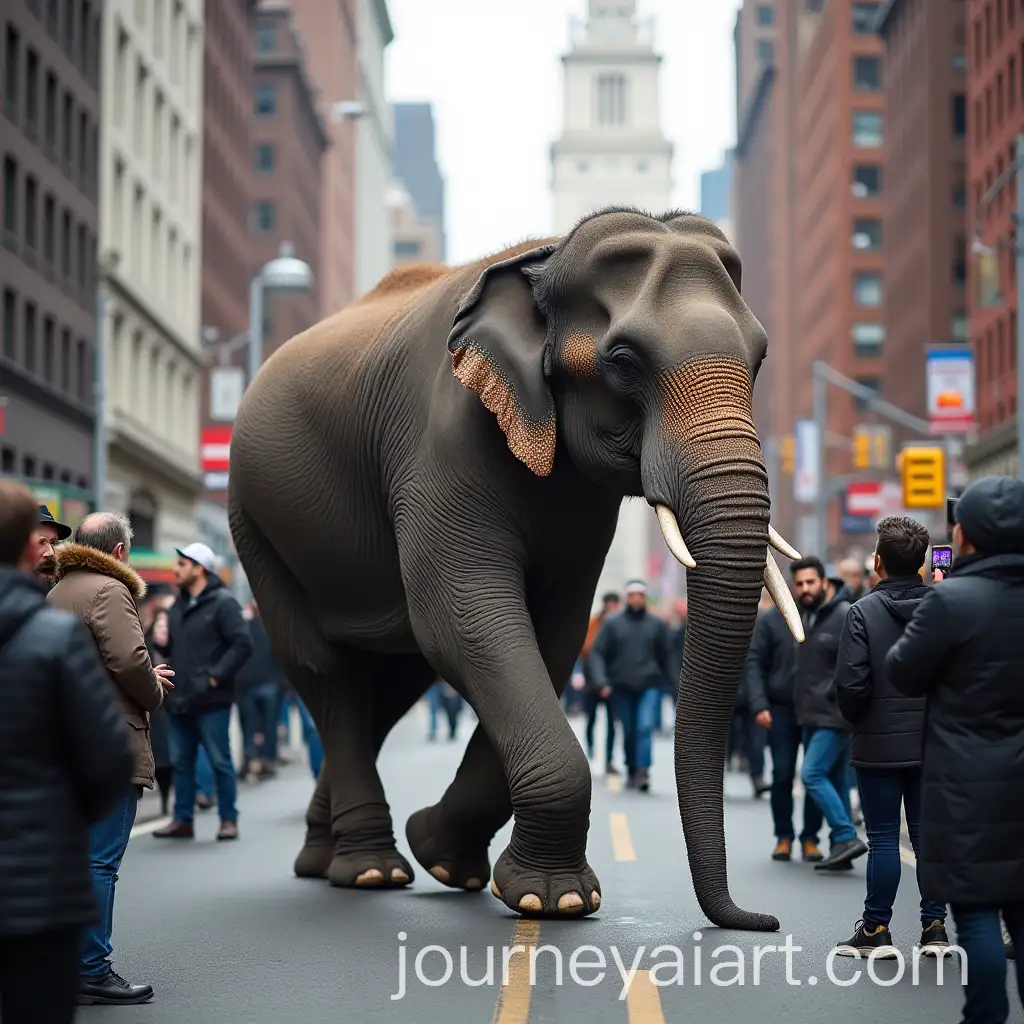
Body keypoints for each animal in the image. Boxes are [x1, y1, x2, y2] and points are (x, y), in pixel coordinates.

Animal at [226, 206, 805, 931]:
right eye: (623, 361)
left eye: (759, 359)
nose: (764, 920)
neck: (544, 262)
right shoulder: (441, 444)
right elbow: (468, 620)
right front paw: (551, 898)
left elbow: (552, 636)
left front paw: (450, 860)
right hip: (254, 520)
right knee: (327, 674)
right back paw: (369, 871)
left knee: (388, 688)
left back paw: (324, 859)